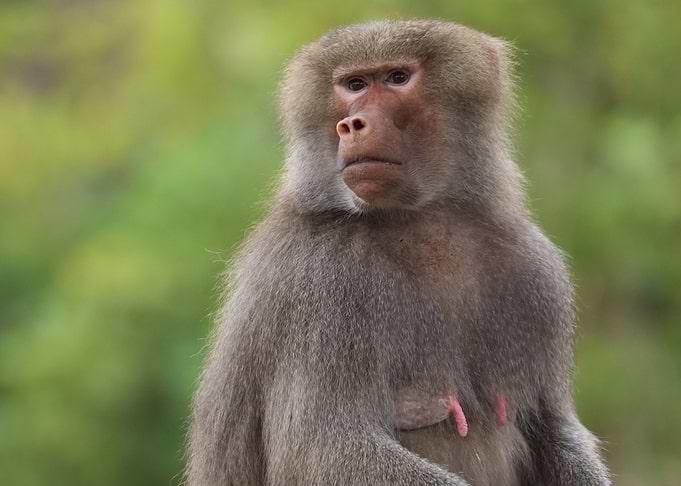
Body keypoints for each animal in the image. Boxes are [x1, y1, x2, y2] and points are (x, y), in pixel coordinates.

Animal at [186, 20, 611, 486]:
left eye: (396, 77)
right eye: (354, 84)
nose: (352, 124)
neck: (420, 224)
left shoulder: (537, 271)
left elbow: (553, 427)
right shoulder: (318, 279)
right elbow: (321, 449)